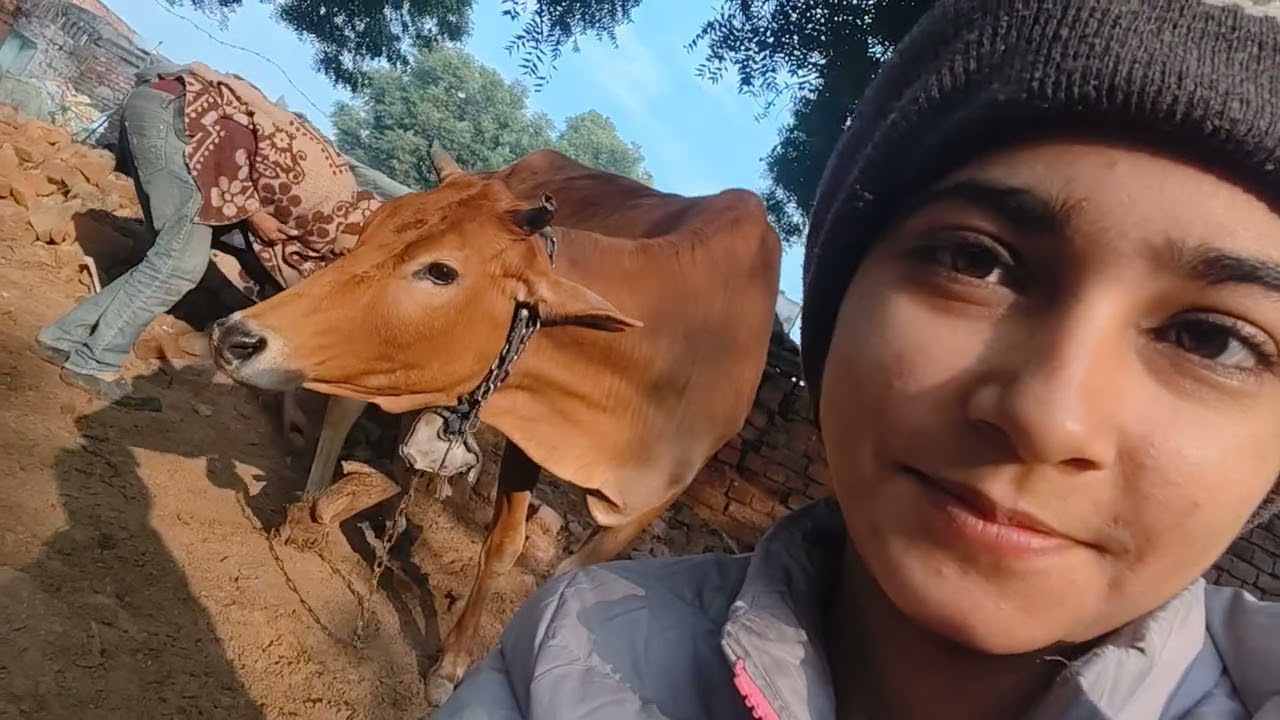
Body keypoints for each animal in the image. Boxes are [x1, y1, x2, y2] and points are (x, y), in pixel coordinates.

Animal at [209, 144, 782, 703]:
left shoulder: (647, 505)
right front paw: (452, 665)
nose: (233, 337)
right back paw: (313, 504)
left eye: (441, 271)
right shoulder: (528, 434)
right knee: (342, 410)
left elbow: (568, 576)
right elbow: (504, 545)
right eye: (371, 230)